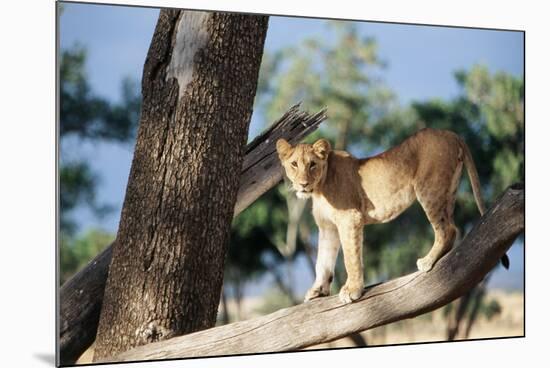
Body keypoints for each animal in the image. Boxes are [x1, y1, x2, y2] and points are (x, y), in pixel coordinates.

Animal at [278, 129, 512, 304]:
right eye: (294, 164)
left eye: (312, 165)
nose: (303, 184)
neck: (319, 189)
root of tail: (450, 132)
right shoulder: (328, 227)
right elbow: (323, 261)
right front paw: (317, 290)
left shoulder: (350, 219)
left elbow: (351, 258)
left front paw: (352, 290)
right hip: (448, 192)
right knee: (452, 227)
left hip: (429, 189)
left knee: (447, 229)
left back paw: (427, 261)